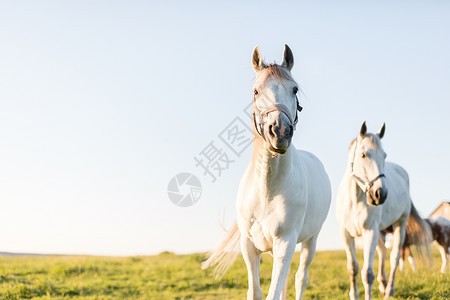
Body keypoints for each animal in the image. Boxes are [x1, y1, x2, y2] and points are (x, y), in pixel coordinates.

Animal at [203, 44, 330, 300]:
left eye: (294, 89)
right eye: (256, 91)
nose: (279, 131)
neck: (267, 190)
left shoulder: (286, 242)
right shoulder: (249, 247)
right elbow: (256, 292)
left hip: (310, 240)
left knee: (300, 278)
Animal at [338, 122, 428, 300]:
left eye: (384, 156)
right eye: (363, 155)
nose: (381, 194)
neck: (354, 200)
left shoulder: (370, 232)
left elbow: (367, 274)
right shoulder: (346, 234)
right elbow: (353, 268)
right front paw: (354, 294)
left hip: (400, 224)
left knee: (394, 257)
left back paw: (389, 291)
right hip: (381, 231)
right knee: (383, 252)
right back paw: (383, 284)